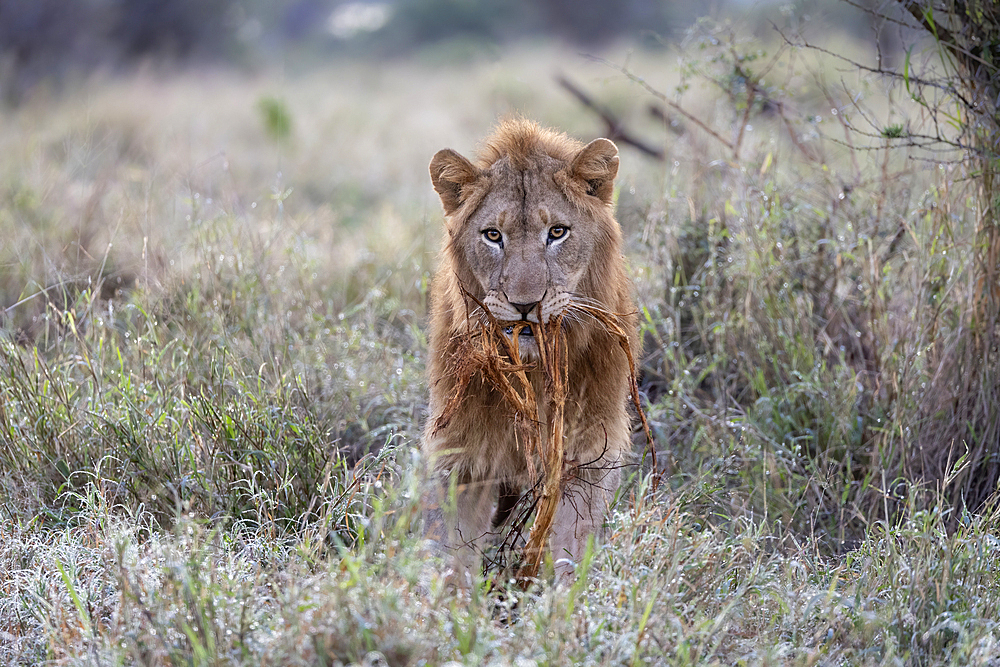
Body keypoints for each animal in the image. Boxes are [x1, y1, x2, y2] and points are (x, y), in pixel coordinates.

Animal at [422, 120, 640, 580]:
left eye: (557, 232)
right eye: (493, 235)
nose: (526, 304)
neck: (534, 373)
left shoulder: (588, 455)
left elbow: (569, 552)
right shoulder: (462, 455)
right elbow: (456, 552)